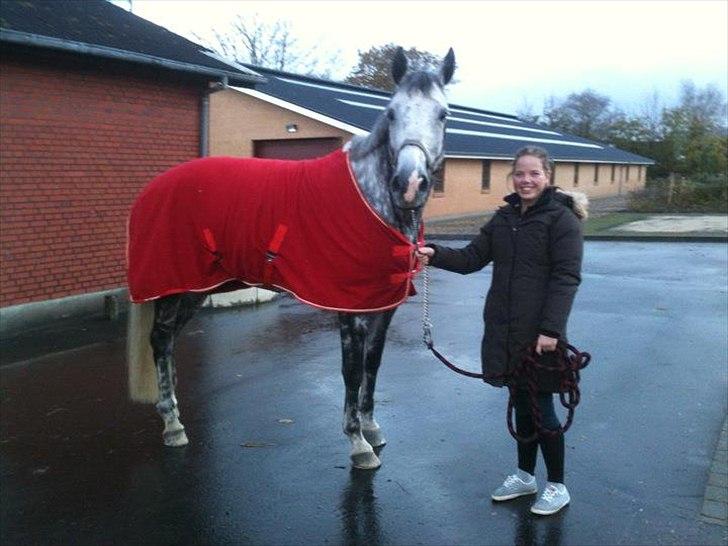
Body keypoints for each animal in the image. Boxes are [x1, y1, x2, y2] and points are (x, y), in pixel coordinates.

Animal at [125, 46, 456, 468]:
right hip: (172, 287)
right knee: (160, 339)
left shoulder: (383, 308)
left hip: (194, 289)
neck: (371, 199)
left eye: (442, 114)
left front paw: (371, 427)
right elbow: (351, 372)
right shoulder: (350, 310)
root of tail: (150, 190)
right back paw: (172, 425)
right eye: (393, 113)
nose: (410, 184)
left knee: (168, 341)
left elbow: (372, 365)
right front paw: (358, 444)